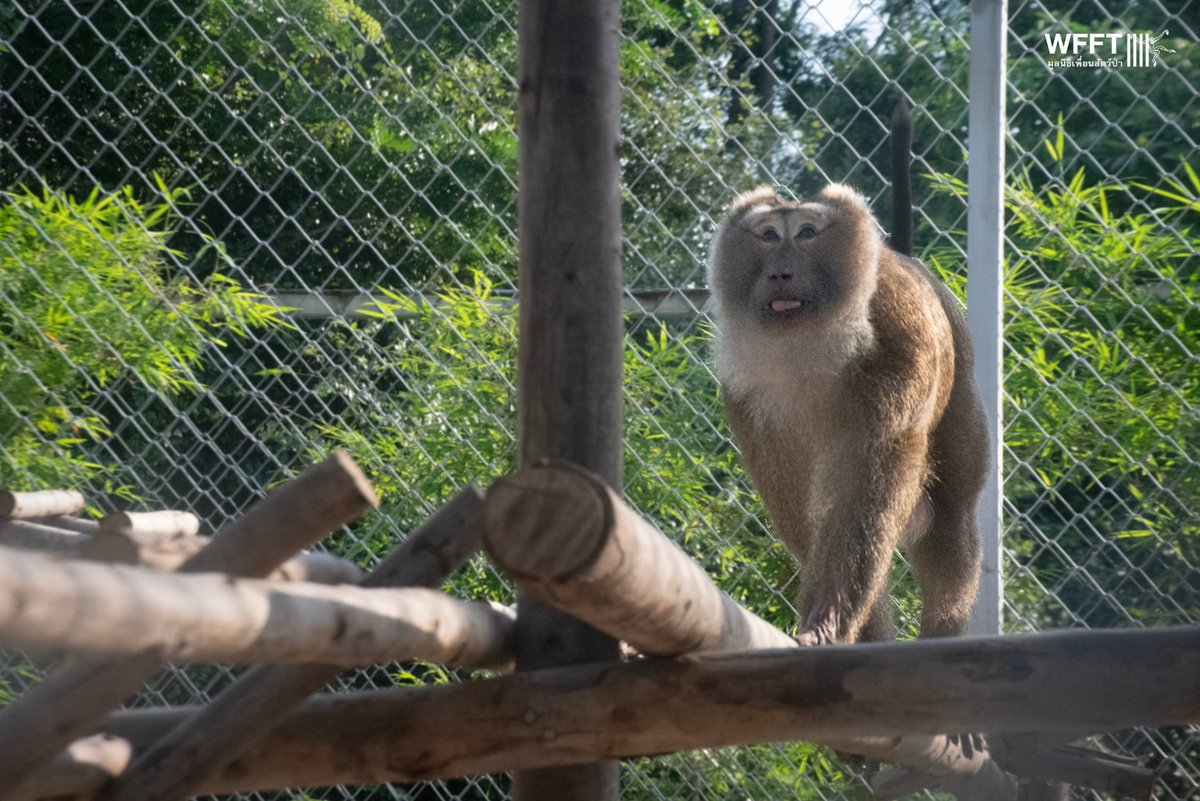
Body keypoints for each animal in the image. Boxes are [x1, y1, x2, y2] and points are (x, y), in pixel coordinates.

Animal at [708, 183, 987, 646]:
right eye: (768, 235)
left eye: (806, 232)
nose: (780, 273)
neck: (813, 342)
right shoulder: (742, 390)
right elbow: (795, 497)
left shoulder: (898, 339)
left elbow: (868, 482)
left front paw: (827, 621)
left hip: (962, 388)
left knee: (949, 517)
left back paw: (943, 628)